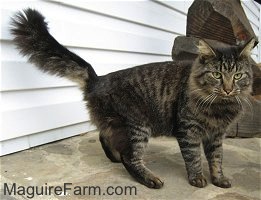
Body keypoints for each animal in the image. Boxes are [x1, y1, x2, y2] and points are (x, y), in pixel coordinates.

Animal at [11, 8, 253, 189]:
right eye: (217, 75)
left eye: (238, 76)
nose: (229, 89)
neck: (220, 106)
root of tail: (97, 79)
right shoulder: (188, 130)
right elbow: (194, 157)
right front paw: (198, 179)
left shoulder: (216, 134)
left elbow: (216, 158)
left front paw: (219, 179)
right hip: (137, 126)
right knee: (130, 158)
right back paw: (150, 179)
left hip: (121, 124)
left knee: (104, 135)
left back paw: (114, 157)